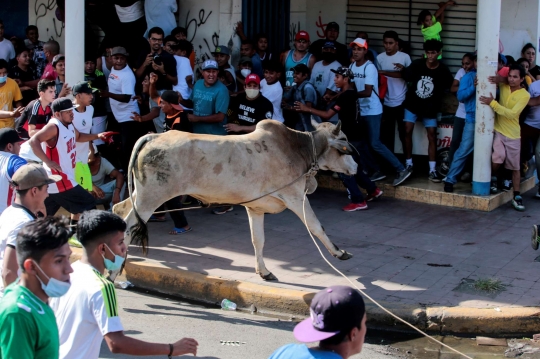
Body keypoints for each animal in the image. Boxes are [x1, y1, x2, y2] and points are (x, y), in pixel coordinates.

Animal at [113, 121, 358, 282]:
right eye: (345, 140)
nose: (356, 166)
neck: (299, 149)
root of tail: (153, 136)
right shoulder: (296, 197)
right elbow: (316, 226)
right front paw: (339, 253)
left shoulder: (255, 207)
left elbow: (258, 240)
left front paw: (264, 271)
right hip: (151, 198)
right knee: (128, 226)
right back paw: (114, 273)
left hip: (141, 195)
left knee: (119, 208)